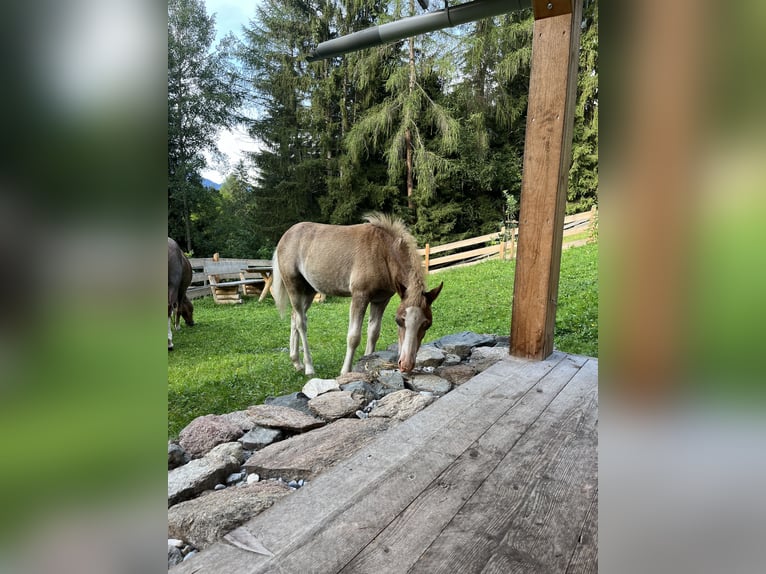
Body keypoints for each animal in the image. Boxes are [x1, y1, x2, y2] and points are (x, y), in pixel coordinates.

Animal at [272, 214, 444, 376]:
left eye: (427, 324)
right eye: (399, 320)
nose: (406, 365)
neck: (383, 252)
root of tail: (285, 236)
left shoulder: (381, 300)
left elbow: (374, 333)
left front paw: (367, 361)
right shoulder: (359, 296)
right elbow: (354, 337)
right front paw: (345, 371)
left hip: (309, 290)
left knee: (295, 317)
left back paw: (297, 363)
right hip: (294, 286)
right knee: (301, 322)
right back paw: (308, 367)